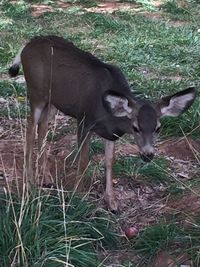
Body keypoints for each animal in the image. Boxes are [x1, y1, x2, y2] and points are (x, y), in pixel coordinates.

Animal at [8, 35, 196, 213]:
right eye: (136, 127)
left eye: (158, 128)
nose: (148, 155)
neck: (109, 116)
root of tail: (26, 46)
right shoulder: (84, 120)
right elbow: (83, 160)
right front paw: (78, 195)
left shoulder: (111, 134)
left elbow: (109, 161)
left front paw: (112, 202)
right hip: (36, 92)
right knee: (30, 125)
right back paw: (29, 182)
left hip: (54, 101)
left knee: (43, 126)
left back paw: (46, 178)